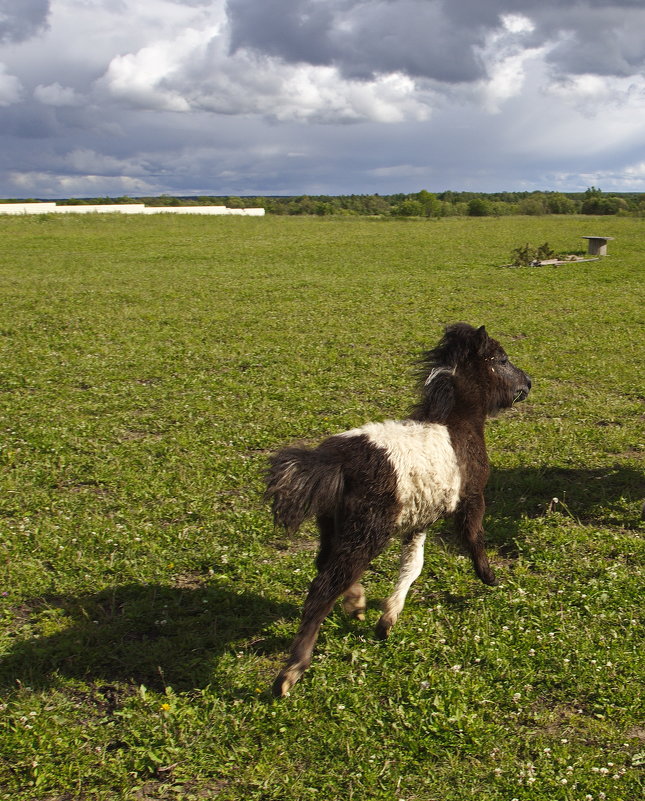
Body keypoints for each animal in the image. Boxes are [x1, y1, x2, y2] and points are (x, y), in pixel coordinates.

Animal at [264, 324, 532, 692]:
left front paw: (386, 619)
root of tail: (334, 461)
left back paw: (356, 603)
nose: (528, 383)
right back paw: (292, 671)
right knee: (323, 587)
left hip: (334, 526)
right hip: (366, 533)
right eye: (503, 360)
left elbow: (412, 565)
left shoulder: (420, 519)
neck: (455, 424)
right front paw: (489, 577)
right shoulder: (471, 498)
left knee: (328, 566)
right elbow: (474, 538)